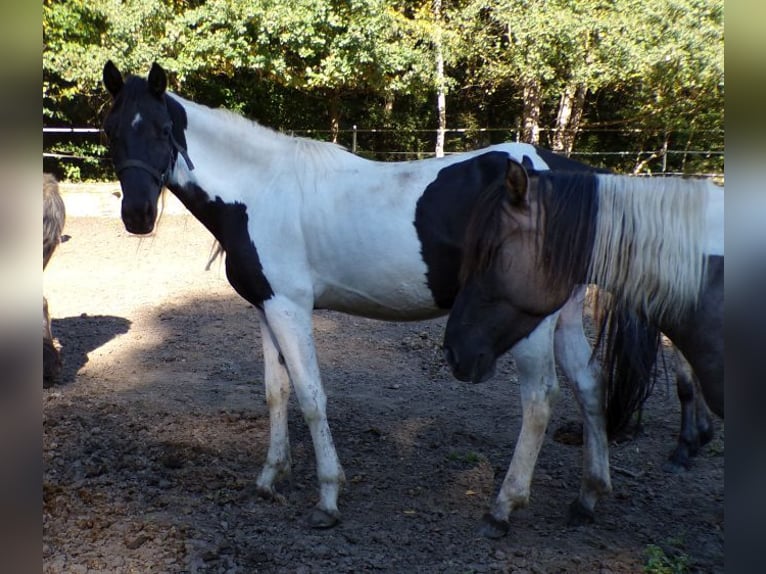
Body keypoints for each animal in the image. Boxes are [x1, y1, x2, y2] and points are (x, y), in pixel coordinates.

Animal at [101, 61, 658, 531]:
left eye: (163, 130)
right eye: (111, 130)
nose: (137, 216)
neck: (259, 191)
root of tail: (576, 174)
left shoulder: (291, 308)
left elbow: (311, 396)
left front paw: (328, 498)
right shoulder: (265, 308)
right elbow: (276, 393)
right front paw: (270, 478)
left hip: (530, 323)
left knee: (540, 400)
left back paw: (504, 506)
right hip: (561, 314)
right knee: (589, 385)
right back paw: (588, 497)